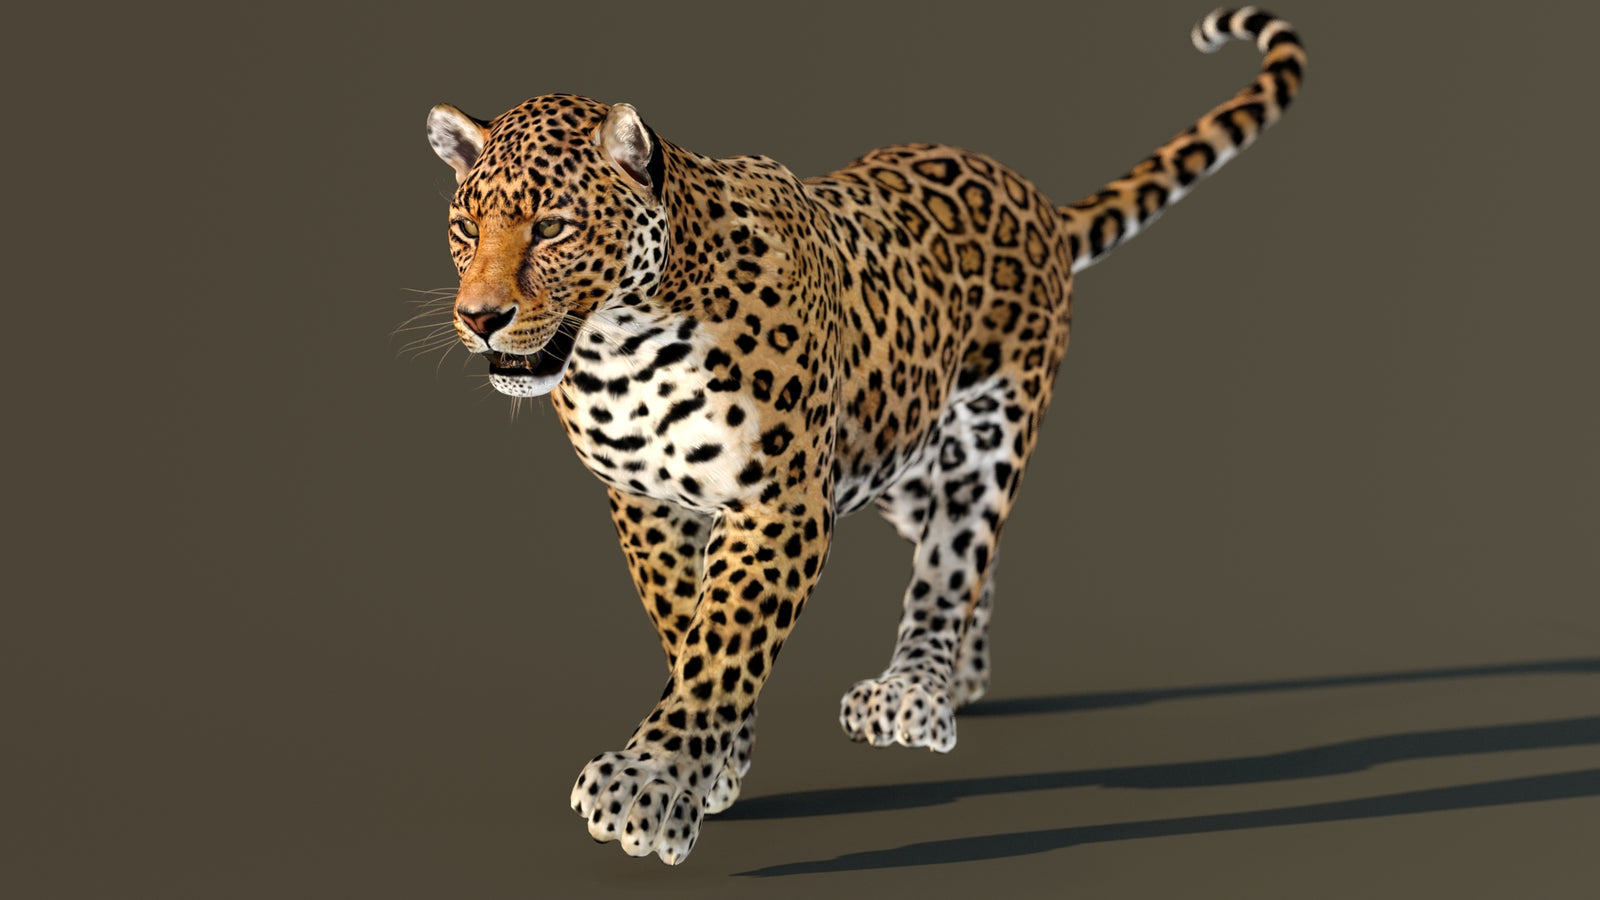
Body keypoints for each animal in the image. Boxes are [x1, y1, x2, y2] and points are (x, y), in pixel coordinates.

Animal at [420, 7, 1305, 865]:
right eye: (465, 227)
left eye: (554, 227)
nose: (479, 317)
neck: (623, 348)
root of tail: (1032, 197)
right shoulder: (646, 501)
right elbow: (684, 622)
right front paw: (719, 760)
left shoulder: (781, 502)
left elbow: (723, 638)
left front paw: (653, 781)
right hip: (896, 450)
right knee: (962, 552)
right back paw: (962, 677)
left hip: (988, 432)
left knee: (954, 560)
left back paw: (916, 690)